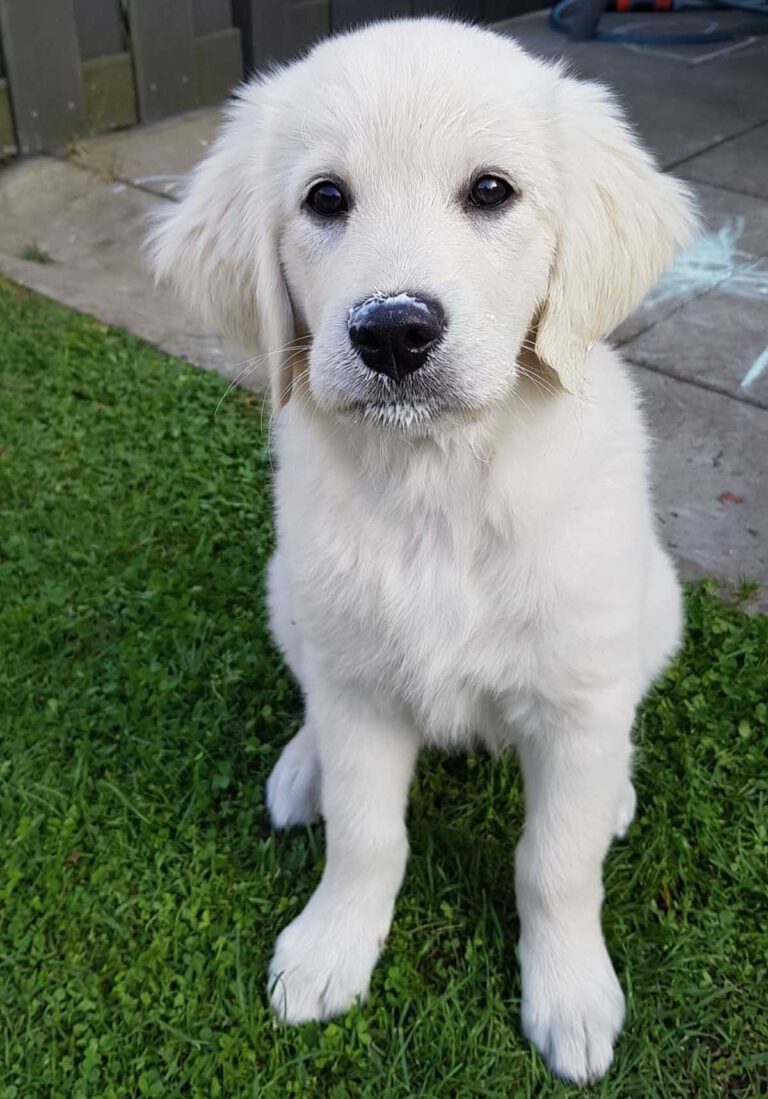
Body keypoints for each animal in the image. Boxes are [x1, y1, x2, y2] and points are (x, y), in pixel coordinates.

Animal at [150, 21, 698, 1085]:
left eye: (490, 191)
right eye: (326, 198)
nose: (394, 330)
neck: (439, 485)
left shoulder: (575, 693)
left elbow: (555, 862)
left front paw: (571, 992)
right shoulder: (359, 684)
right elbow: (369, 836)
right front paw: (331, 946)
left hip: (655, 607)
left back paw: (615, 790)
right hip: (293, 597)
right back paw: (302, 773)